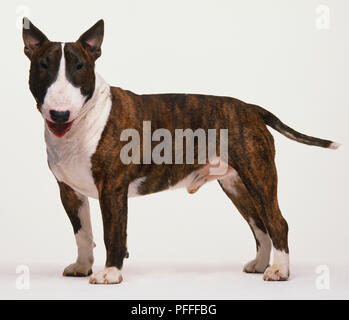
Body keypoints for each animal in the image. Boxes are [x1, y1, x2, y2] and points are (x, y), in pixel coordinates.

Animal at [21, 18, 338, 282]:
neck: (82, 122)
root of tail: (251, 109)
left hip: (258, 176)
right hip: (235, 184)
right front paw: (82, 266)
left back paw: (280, 271)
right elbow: (83, 234)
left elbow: (113, 232)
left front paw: (110, 273)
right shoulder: (69, 191)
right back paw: (260, 264)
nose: (59, 113)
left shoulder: (112, 188)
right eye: (43, 66)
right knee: (259, 225)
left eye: (80, 68)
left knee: (276, 222)